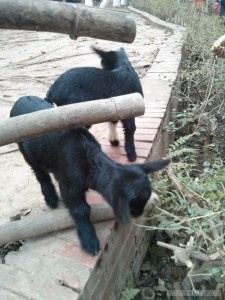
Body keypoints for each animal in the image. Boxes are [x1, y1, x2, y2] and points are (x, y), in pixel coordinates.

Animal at [10, 96, 169, 255]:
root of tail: (21, 99)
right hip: (25, 150)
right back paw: (51, 199)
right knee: (40, 174)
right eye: (132, 203)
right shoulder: (70, 185)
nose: (138, 213)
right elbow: (81, 209)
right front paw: (89, 240)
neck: (89, 160)